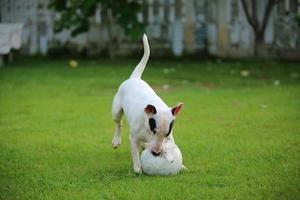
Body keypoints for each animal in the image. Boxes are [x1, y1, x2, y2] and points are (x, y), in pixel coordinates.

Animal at [112, 33, 183, 173]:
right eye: (153, 130)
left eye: (166, 134)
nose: (156, 153)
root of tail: (134, 78)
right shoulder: (133, 138)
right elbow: (135, 153)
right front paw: (138, 169)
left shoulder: (170, 137)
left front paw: (181, 165)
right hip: (116, 109)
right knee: (118, 123)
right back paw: (116, 140)